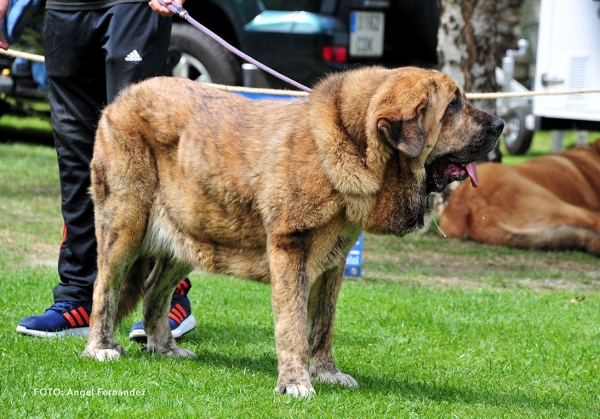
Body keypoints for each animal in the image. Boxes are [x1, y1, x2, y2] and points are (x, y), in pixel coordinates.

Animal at [82, 66, 504, 398]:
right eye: (453, 106)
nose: (500, 125)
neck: (353, 143)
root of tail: (118, 101)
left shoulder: (334, 263)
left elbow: (323, 325)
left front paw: (328, 373)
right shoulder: (291, 250)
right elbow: (294, 324)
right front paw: (296, 383)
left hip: (191, 234)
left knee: (155, 290)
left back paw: (165, 348)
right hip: (125, 224)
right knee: (106, 287)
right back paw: (100, 347)